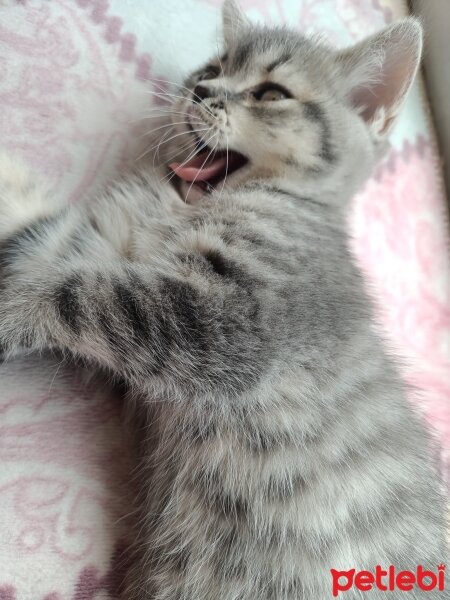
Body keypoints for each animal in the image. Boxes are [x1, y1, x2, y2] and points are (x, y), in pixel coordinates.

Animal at [0, 1, 448, 600]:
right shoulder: (94, 245)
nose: (200, 89)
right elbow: (40, 235)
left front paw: (10, 310)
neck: (187, 205)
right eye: (212, 68)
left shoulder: (229, 321)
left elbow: (75, 293)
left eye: (272, 93)